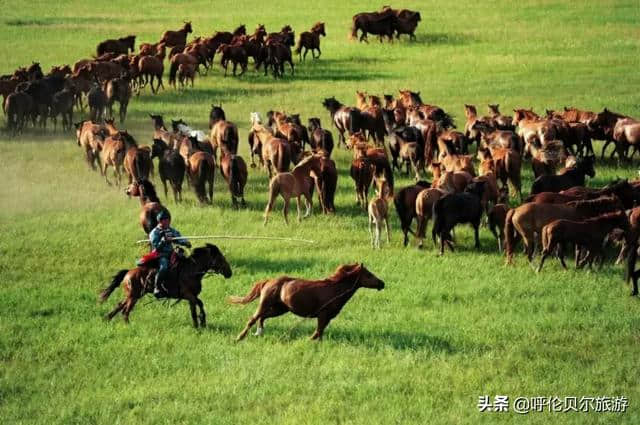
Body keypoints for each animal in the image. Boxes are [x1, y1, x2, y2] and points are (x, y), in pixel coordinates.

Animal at [99, 243, 231, 326]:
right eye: (220, 258)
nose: (229, 273)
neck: (192, 270)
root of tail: (128, 273)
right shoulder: (188, 296)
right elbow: (195, 309)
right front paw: (198, 324)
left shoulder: (192, 296)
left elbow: (199, 305)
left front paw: (201, 322)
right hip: (133, 296)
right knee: (125, 310)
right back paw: (127, 325)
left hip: (134, 295)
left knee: (120, 305)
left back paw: (107, 318)